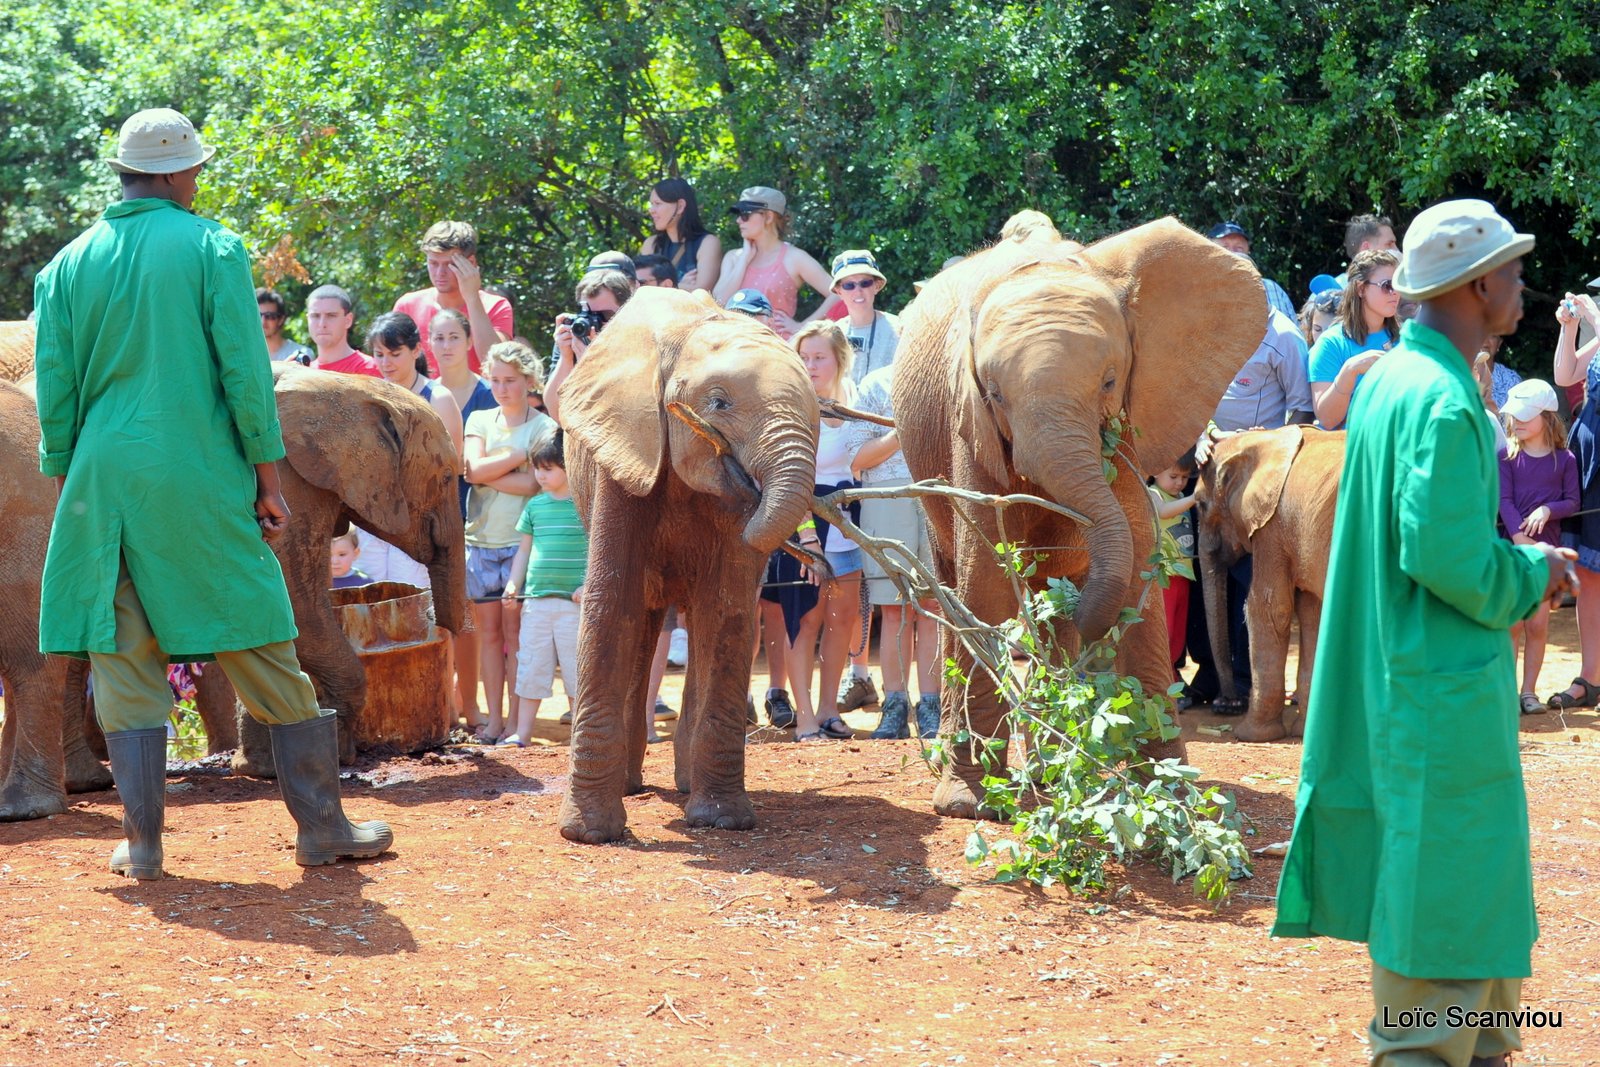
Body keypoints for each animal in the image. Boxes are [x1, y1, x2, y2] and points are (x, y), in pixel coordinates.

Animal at [556, 287, 819, 844]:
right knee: (643, 618)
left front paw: (721, 821)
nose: (803, 558)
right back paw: (633, 786)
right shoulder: (628, 445)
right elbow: (612, 603)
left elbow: (726, 611)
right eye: (718, 404)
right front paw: (590, 834)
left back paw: (683, 785)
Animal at [896, 214, 1267, 819]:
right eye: (994, 395)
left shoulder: (1129, 430)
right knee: (955, 592)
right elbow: (988, 585)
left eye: (1110, 381)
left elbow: (1138, 566)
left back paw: (1053, 765)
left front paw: (1169, 795)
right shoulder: (967, 429)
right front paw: (973, 804)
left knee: (1055, 605)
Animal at [1196, 425, 1344, 742]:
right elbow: (1312, 612)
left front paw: (1250, 735)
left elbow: (1268, 608)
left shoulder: (1272, 527)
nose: (1227, 704)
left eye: (1200, 506)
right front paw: (1304, 732)